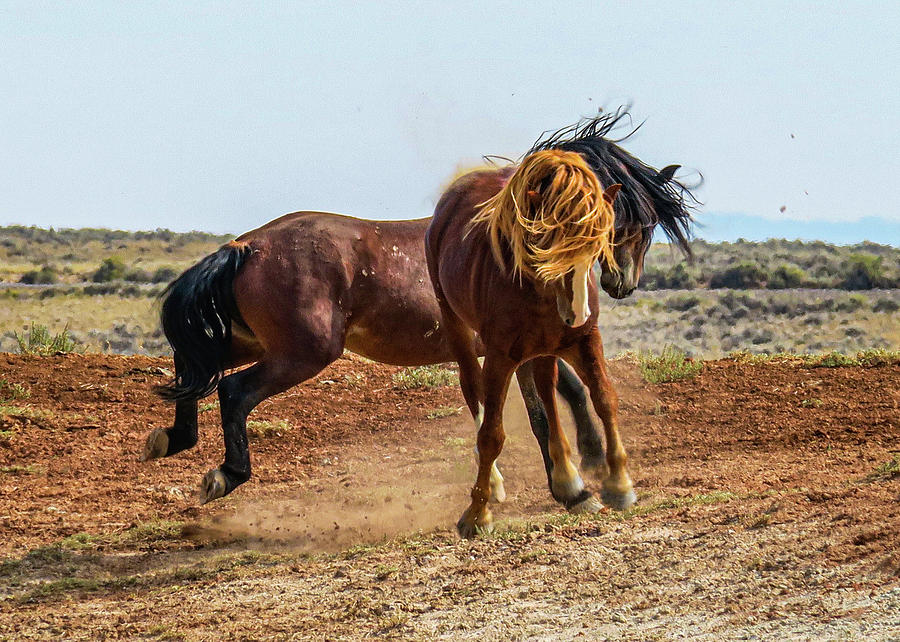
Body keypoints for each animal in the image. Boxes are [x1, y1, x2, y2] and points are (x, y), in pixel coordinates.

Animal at [426, 110, 692, 536]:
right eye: (618, 226)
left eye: (648, 226)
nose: (623, 282)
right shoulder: (502, 353)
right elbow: (494, 433)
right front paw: (476, 514)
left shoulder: (579, 339)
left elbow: (599, 397)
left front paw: (616, 483)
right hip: (460, 328)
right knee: (478, 392)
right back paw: (510, 484)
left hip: (541, 348)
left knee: (547, 400)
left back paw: (571, 482)